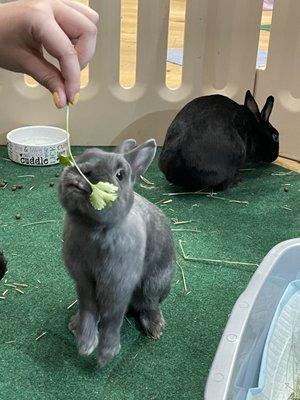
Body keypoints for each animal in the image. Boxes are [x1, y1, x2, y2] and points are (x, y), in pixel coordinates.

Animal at [59, 139, 176, 368]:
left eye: (120, 174)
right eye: (84, 155)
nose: (83, 170)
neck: (93, 229)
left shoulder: (118, 283)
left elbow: (114, 317)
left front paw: (106, 355)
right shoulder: (83, 281)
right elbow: (88, 308)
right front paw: (85, 343)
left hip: (154, 284)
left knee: (149, 304)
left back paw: (155, 328)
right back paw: (74, 324)